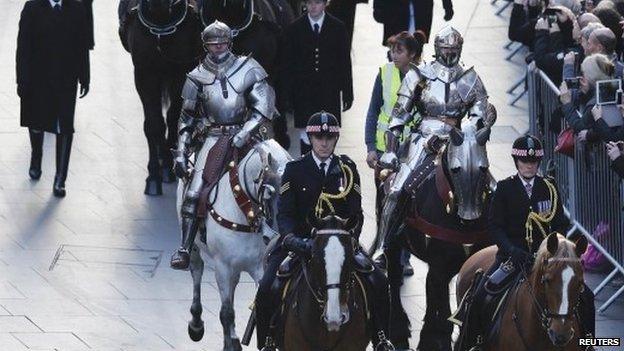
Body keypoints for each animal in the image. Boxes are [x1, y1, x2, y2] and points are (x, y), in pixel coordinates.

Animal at [118, 0, 201, 195]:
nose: (158, 4)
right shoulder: (144, 74)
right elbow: (153, 124)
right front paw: (154, 175)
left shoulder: (180, 73)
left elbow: (172, 117)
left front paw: (168, 164)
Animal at [176, 139, 292, 350]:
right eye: (270, 192)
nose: (280, 235)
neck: (245, 213)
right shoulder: (223, 267)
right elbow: (226, 312)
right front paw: (231, 343)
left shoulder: (260, 269)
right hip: (195, 249)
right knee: (196, 271)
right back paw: (196, 324)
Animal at [382, 121, 494, 351]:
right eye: (456, 169)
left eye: (484, 168)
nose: (469, 217)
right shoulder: (439, 264)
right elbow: (441, 309)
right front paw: (436, 340)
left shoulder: (470, 262)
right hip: (394, 244)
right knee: (394, 276)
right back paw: (398, 331)